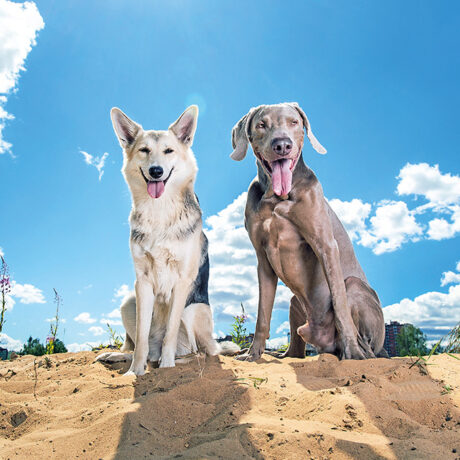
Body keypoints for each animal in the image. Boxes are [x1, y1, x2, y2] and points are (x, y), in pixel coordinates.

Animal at [232, 102, 386, 362]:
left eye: (294, 122)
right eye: (262, 125)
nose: (282, 145)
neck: (278, 197)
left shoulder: (325, 245)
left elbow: (340, 305)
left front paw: (353, 353)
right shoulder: (262, 260)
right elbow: (263, 314)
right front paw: (253, 354)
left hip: (355, 286)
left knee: (365, 342)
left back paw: (356, 352)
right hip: (295, 303)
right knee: (295, 351)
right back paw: (276, 354)